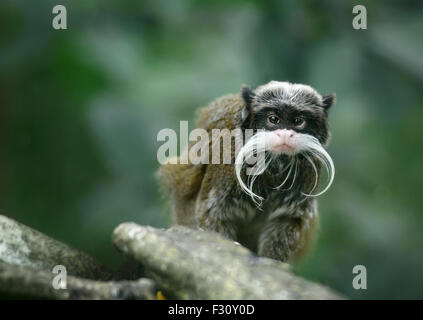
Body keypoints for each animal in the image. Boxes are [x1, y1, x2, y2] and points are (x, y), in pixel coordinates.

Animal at [157, 80, 336, 262]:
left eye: (298, 121)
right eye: (273, 119)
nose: (286, 135)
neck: (275, 163)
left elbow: (285, 222)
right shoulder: (227, 161)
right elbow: (212, 214)